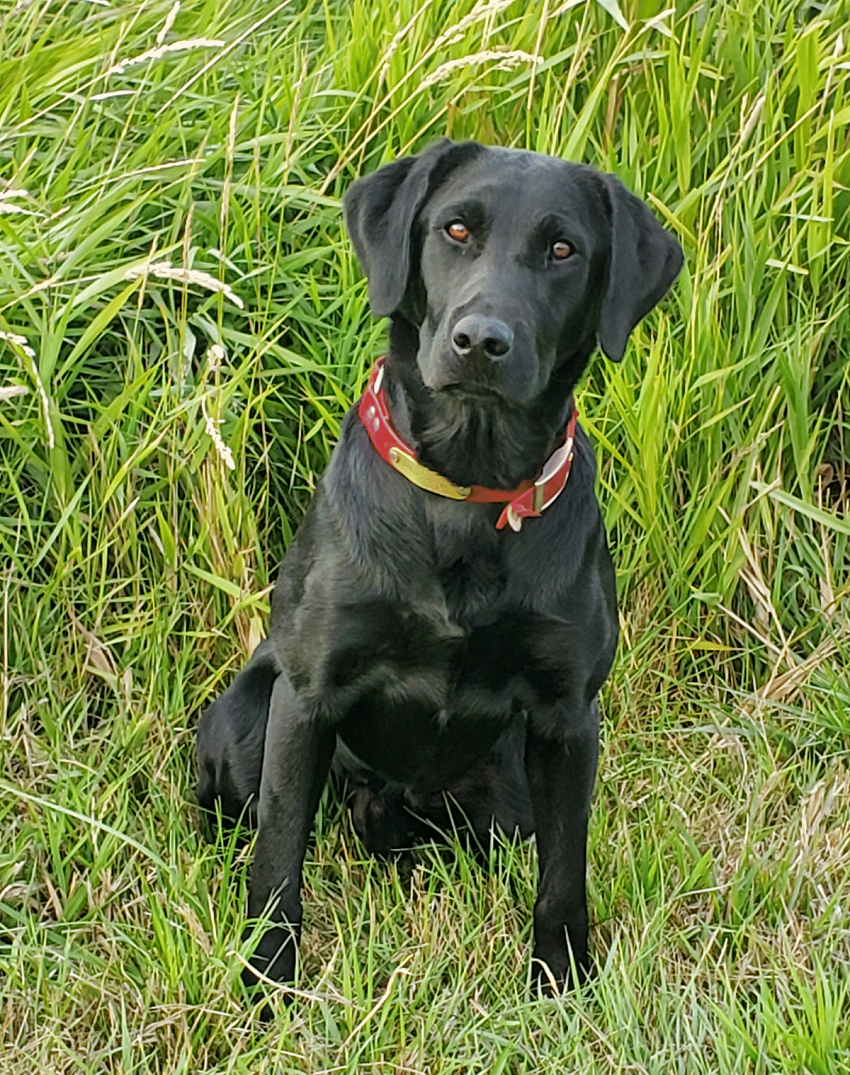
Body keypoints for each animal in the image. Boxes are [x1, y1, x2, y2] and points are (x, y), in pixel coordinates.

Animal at [196, 138, 683, 993]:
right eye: (456, 229)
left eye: (564, 249)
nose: (481, 340)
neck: (467, 487)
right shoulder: (307, 699)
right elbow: (279, 862)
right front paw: (268, 980)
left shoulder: (567, 719)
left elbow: (565, 872)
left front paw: (561, 982)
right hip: (242, 724)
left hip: (506, 794)